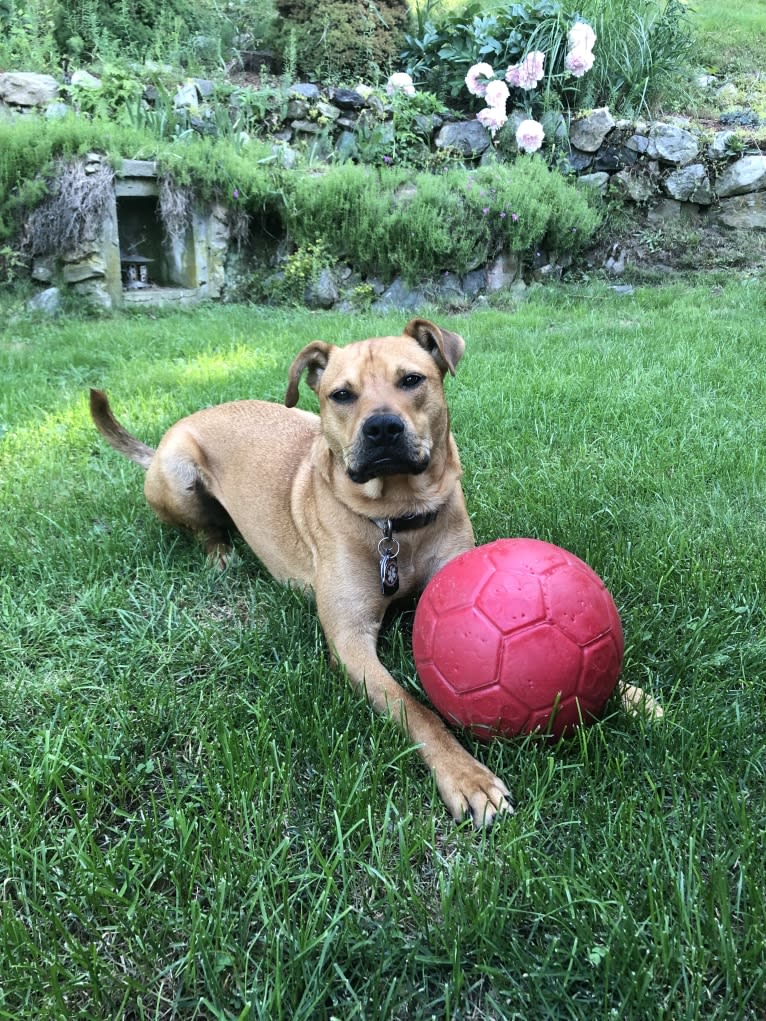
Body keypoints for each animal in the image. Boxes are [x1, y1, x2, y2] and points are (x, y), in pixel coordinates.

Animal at [89, 314, 661, 824]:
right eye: (342, 394)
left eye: (411, 380)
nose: (382, 427)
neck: (397, 517)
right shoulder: (351, 640)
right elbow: (417, 709)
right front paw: (466, 776)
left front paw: (628, 694)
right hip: (179, 473)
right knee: (205, 529)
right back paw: (220, 555)